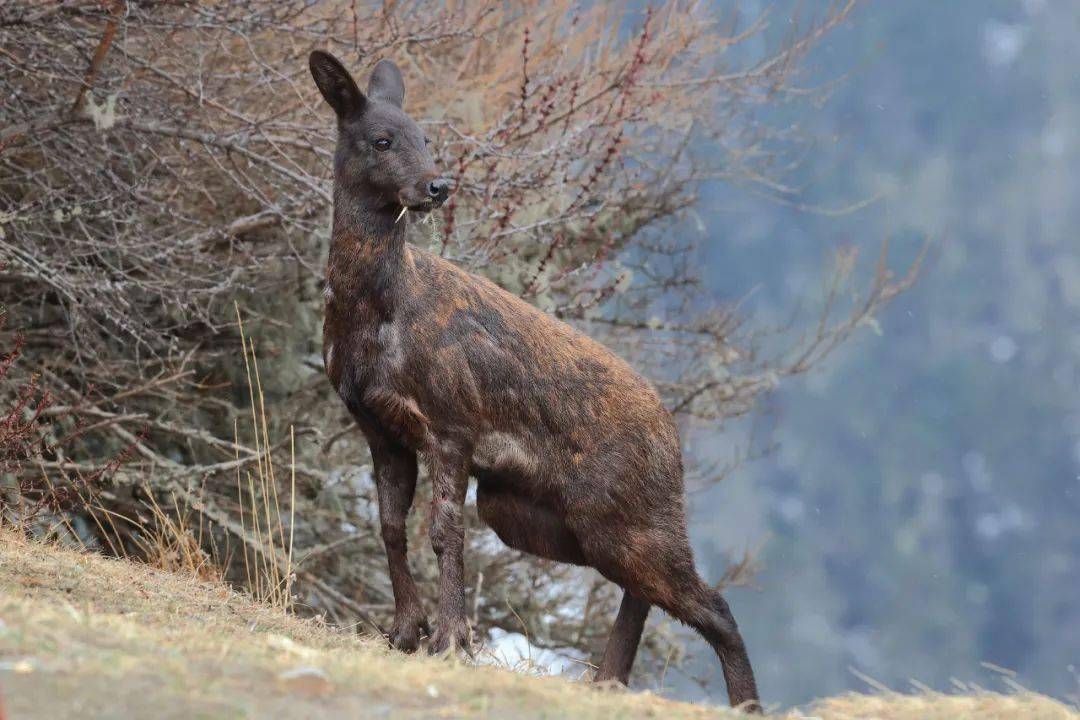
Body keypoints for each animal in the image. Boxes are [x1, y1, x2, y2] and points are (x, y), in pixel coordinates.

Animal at [306, 49, 760, 708]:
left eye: (427, 139)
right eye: (382, 139)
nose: (438, 185)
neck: (378, 314)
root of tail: (674, 439)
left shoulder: (452, 420)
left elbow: (443, 532)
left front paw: (450, 641)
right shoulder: (379, 427)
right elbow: (390, 527)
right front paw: (405, 632)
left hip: (632, 515)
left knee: (713, 605)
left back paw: (743, 704)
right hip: (541, 516)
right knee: (645, 594)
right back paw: (608, 682)